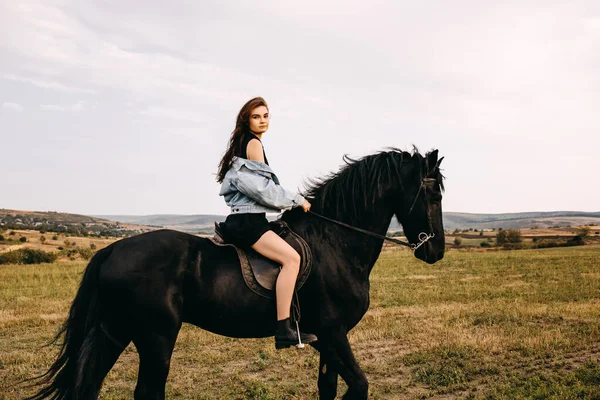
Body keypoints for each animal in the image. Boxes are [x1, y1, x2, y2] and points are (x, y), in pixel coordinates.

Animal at [28, 148, 442, 400]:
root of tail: (111, 250)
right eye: (433, 194)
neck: (335, 241)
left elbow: (328, 388)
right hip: (155, 337)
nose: (435, 251)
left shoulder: (327, 341)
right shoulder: (333, 334)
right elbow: (359, 386)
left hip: (113, 332)